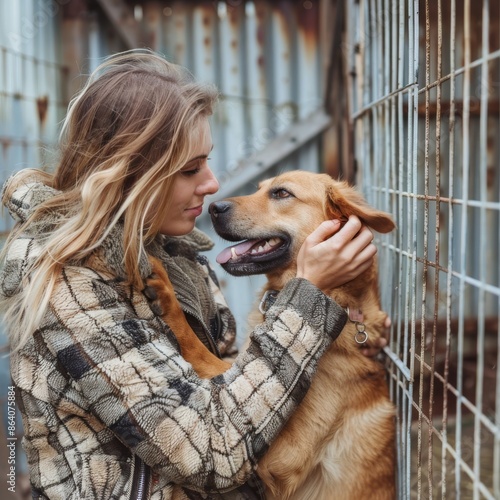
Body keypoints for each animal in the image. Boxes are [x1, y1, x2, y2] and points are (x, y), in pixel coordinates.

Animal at [146, 170, 396, 498]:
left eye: (281, 193)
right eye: (260, 188)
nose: (213, 208)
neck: (340, 299)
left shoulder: (281, 453)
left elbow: (197, 348)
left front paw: (166, 292)